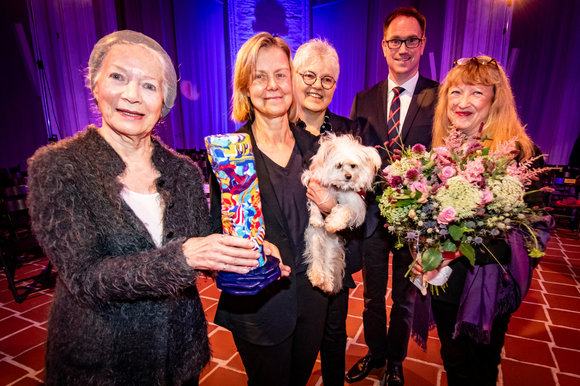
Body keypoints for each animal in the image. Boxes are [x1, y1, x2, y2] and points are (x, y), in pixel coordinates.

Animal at [302, 133, 382, 292]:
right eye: (338, 165)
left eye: (353, 165)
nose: (348, 176)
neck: (338, 187)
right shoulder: (314, 184)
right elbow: (314, 205)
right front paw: (317, 219)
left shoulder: (355, 205)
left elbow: (344, 210)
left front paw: (333, 223)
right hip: (314, 240)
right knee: (317, 260)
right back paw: (317, 277)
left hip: (332, 247)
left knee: (328, 264)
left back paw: (327, 283)